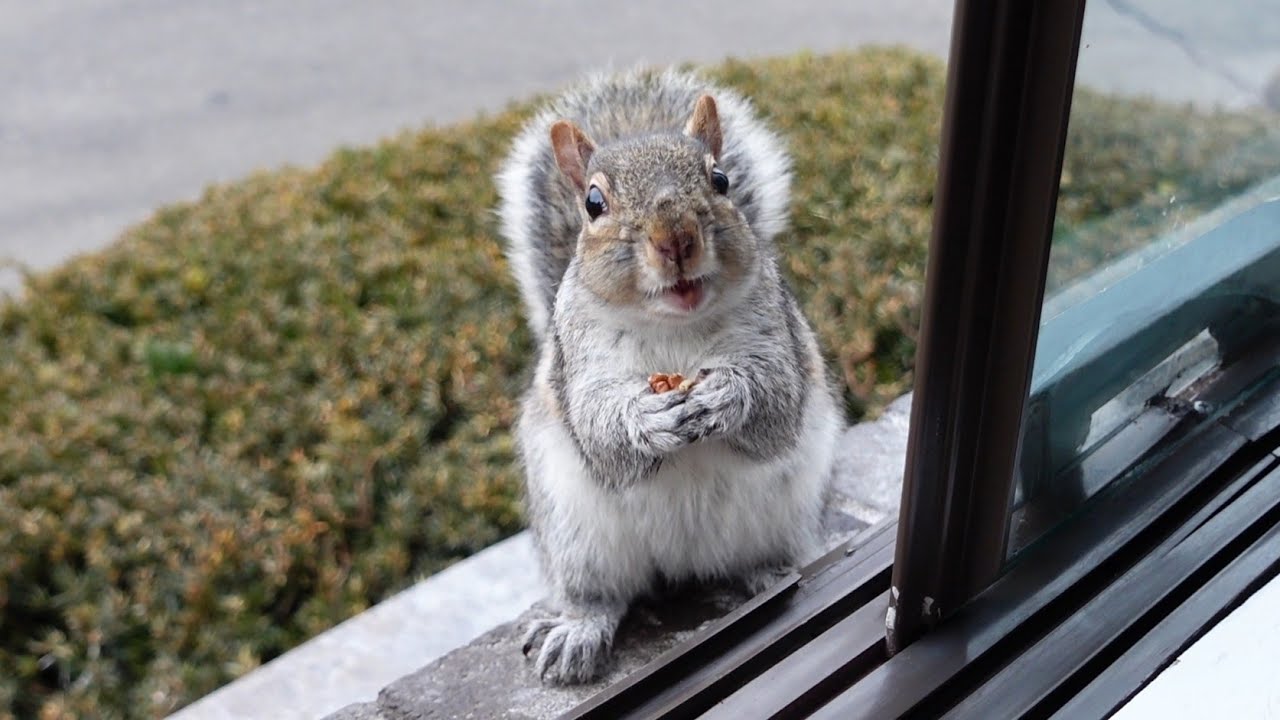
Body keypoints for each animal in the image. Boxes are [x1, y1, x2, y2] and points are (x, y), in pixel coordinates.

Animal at [496, 68, 843, 685]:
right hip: (576, 534)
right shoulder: (580, 362)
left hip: (791, 509)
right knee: (600, 596)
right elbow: (599, 430)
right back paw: (576, 629)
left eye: (720, 180)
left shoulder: (775, 334)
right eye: (594, 203)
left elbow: (777, 405)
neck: (674, 328)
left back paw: (773, 573)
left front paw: (729, 395)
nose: (675, 238)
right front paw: (645, 419)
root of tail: (684, 564)